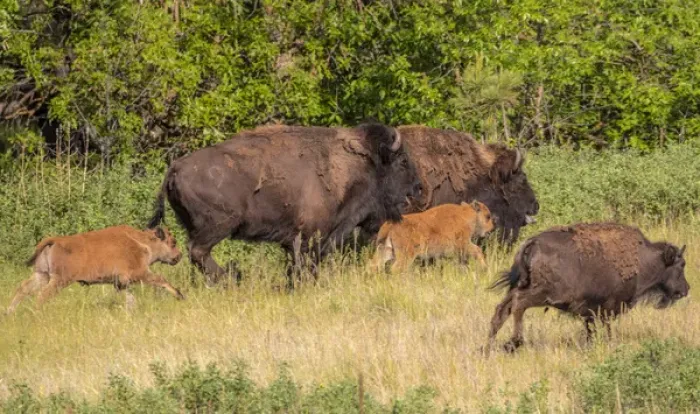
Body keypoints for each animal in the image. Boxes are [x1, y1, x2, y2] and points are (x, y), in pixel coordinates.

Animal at [6, 225, 185, 314]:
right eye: (172, 242)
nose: (179, 255)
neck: (142, 242)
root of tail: (55, 240)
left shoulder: (121, 283)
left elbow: (130, 299)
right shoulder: (140, 273)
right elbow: (160, 279)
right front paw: (180, 295)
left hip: (41, 275)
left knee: (23, 289)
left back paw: (9, 313)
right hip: (59, 280)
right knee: (42, 296)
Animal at [146, 123, 422, 287]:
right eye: (402, 162)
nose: (418, 188)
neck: (356, 166)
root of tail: (175, 168)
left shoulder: (295, 240)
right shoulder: (310, 236)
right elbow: (306, 264)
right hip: (218, 226)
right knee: (198, 251)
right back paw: (232, 278)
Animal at [485, 222, 689, 353]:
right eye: (681, 265)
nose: (686, 289)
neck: (643, 259)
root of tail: (532, 242)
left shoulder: (591, 312)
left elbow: (591, 330)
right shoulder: (608, 307)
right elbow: (606, 329)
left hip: (518, 287)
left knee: (502, 309)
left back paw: (487, 348)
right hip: (540, 294)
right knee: (518, 304)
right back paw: (513, 342)